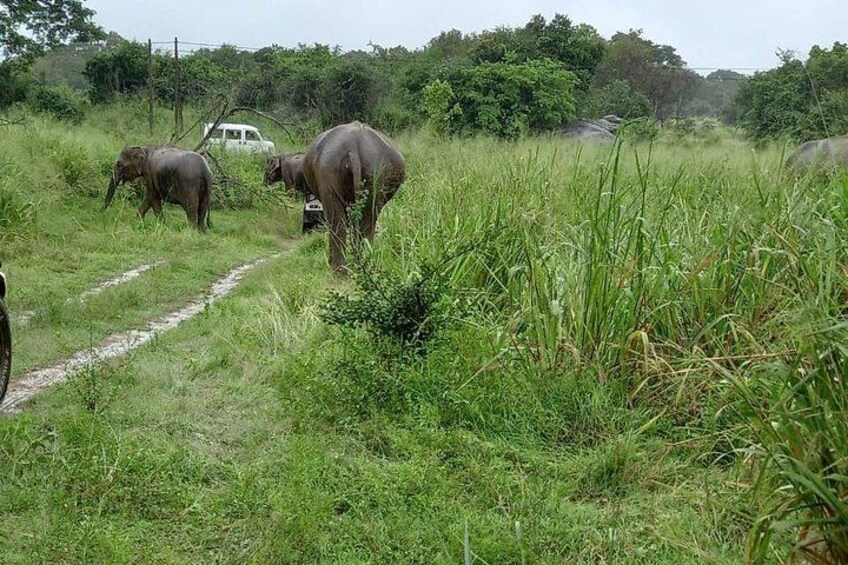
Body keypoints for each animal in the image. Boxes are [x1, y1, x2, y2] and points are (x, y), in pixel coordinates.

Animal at [302, 121, 405, 274]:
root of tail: (353, 146)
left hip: (330, 170)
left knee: (339, 221)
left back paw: (342, 271)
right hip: (372, 173)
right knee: (367, 219)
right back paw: (362, 265)